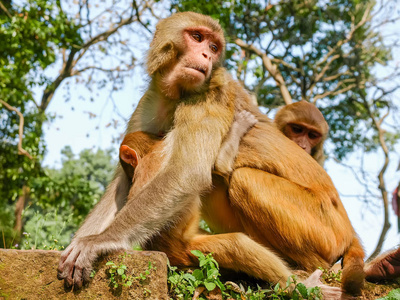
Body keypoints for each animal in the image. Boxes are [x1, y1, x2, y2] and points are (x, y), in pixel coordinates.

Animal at [57, 11, 364, 298]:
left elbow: (189, 171)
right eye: (197, 37)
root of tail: (348, 229)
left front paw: (97, 242)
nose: (206, 54)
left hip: (324, 228)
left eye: (214, 47)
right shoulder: (150, 102)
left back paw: (305, 275)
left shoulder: (207, 97)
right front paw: (80, 243)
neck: (174, 96)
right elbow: (122, 185)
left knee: (244, 181)